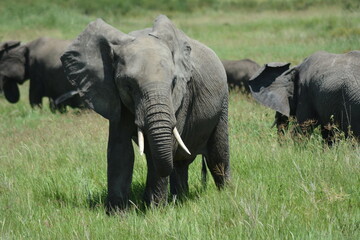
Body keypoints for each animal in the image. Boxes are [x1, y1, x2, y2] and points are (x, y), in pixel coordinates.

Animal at [60, 15, 229, 211]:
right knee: (179, 162)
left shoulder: (182, 97)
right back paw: (179, 198)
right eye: (128, 85)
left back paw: (225, 193)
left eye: (173, 82)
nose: (140, 203)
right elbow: (120, 149)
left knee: (217, 153)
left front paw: (154, 210)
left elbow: (166, 147)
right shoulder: (114, 96)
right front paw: (117, 213)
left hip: (223, 102)